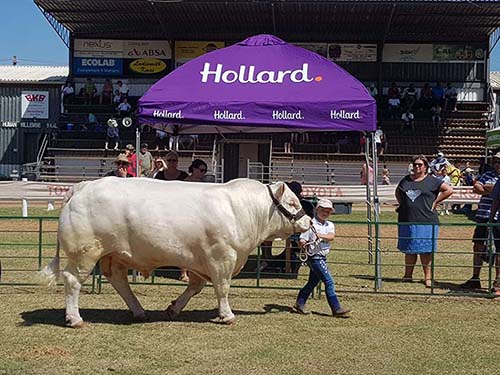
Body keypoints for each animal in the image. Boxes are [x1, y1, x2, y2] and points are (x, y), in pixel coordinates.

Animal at [41, 178, 310, 328]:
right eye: (293, 203)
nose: (308, 222)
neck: (242, 209)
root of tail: (82, 186)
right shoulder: (222, 257)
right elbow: (222, 288)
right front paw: (227, 315)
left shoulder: (200, 261)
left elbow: (195, 287)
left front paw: (173, 308)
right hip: (84, 253)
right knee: (73, 281)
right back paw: (74, 319)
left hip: (115, 254)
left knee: (119, 281)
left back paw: (139, 312)